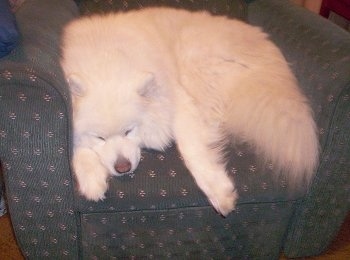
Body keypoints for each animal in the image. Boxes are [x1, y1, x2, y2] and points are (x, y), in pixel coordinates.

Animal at [60, 7, 320, 215]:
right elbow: (76, 147)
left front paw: (219, 192)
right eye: (100, 137)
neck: (107, 61)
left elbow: (191, 147)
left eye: (129, 131)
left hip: (195, 62)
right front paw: (91, 180)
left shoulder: (180, 100)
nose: (122, 168)